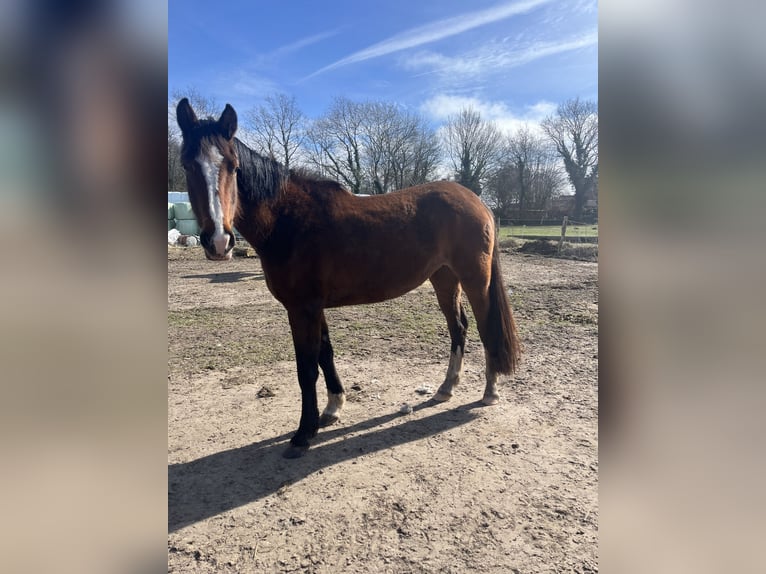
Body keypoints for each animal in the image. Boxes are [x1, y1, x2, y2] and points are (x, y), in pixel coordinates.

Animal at [176, 98, 522, 458]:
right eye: (187, 165)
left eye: (232, 166)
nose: (218, 241)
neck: (287, 219)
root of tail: (476, 200)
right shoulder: (314, 308)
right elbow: (325, 354)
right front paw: (332, 409)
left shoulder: (302, 309)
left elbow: (306, 368)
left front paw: (303, 434)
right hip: (444, 279)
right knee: (459, 328)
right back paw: (446, 388)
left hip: (474, 278)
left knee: (486, 326)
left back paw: (490, 391)